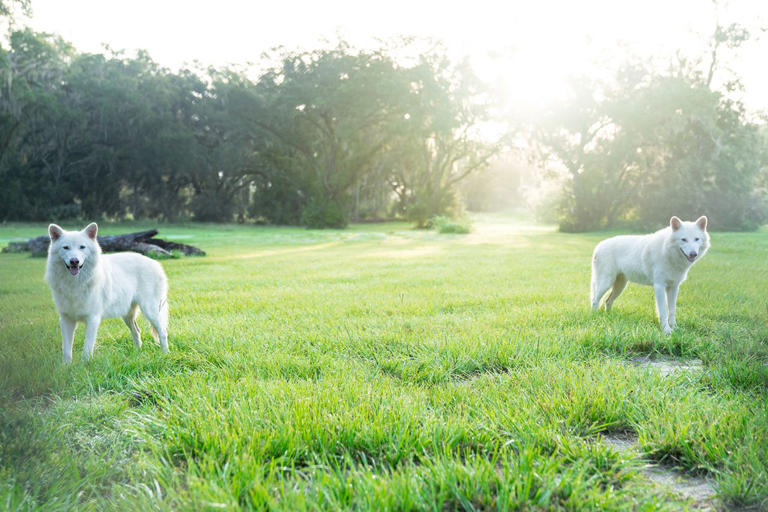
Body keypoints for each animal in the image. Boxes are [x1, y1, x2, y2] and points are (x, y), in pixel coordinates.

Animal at [45, 223, 169, 363]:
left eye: (82, 247)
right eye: (66, 247)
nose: (74, 261)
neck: (75, 283)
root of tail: (156, 263)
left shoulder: (93, 319)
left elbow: (87, 349)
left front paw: (84, 365)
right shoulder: (66, 319)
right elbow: (66, 350)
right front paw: (66, 366)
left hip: (151, 312)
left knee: (163, 332)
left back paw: (165, 354)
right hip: (127, 316)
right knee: (137, 332)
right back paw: (137, 354)